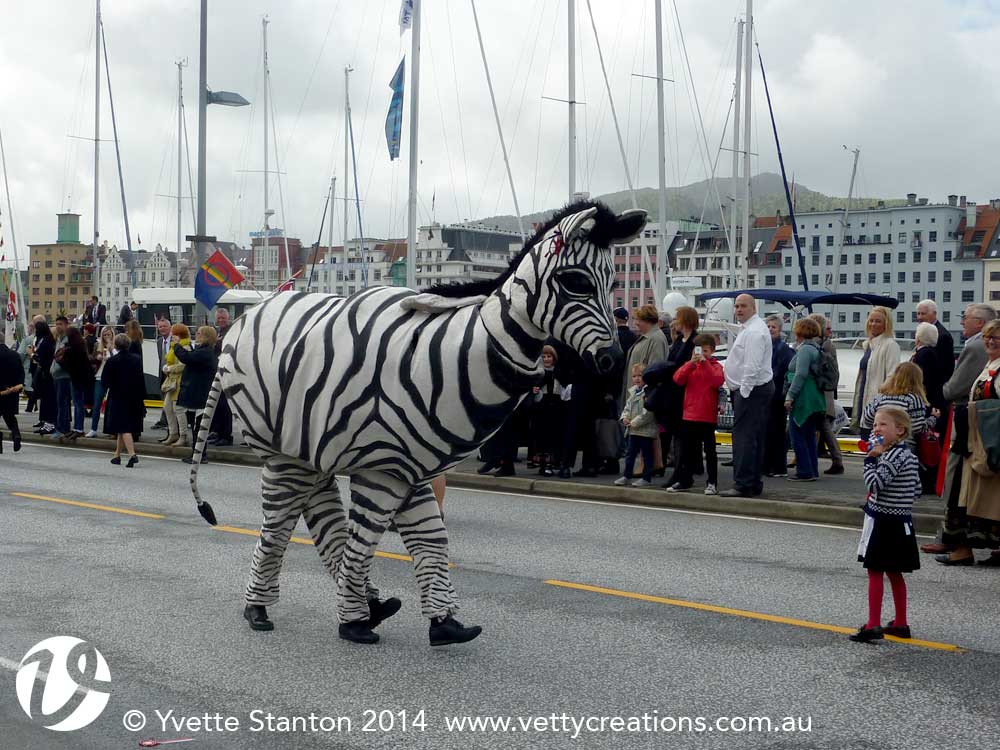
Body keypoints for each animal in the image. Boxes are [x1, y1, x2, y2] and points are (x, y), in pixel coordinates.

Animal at [188, 200, 646, 645]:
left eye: (611, 283)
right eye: (576, 282)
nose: (612, 361)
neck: (456, 354)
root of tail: (241, 325)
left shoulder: (410, 467)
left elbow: (430, 539)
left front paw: (445, 623)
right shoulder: (382, 468)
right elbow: (364, 543)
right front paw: (352, 624)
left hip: (308, 448)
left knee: (321, 514)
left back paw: (370, 604)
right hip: (282, 450)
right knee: (281, 524)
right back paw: (260, 610)